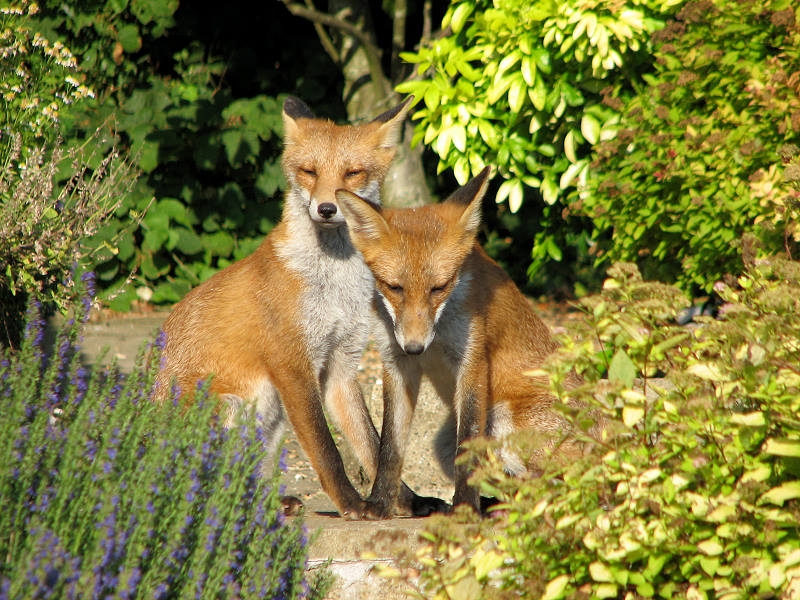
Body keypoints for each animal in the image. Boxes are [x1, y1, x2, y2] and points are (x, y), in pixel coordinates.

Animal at [156, 95, 446, 519]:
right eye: (309, 172)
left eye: (352, 173)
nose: (326, 208)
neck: (334, 285)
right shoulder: (292, 365)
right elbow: (327, 451)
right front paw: (351, 504)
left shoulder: (341, 364)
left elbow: (372, 445)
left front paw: (403, 501)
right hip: (234, 408)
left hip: (270, 418)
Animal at [336, 166, 588, 517]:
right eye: (394, 287)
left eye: (439, 287)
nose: (415, 347)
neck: (437, 336)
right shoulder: (396, 362)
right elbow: (390, 448)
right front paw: (380, 503)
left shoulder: (472, 361)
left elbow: (467, 445)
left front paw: (465, 508)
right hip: (442, 441)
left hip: (501, 416)